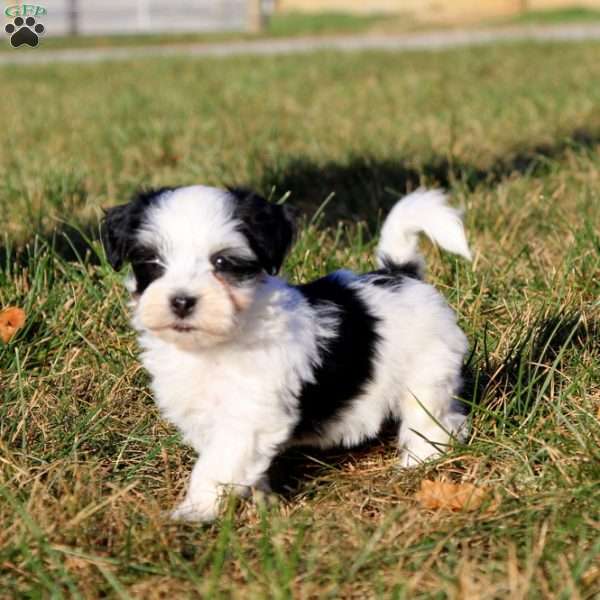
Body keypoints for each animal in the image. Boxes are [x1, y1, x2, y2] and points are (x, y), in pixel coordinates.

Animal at [102, 186, 468, 520]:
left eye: (222, 262)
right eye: (152, 262)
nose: (181, 301)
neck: (216, 342)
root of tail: (399, 273)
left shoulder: (248, 415)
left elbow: (216, 464)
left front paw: (196, 511)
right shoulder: (201, 415)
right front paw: (260, 500)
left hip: (427, 371)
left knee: (431, 419)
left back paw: (420, 462)